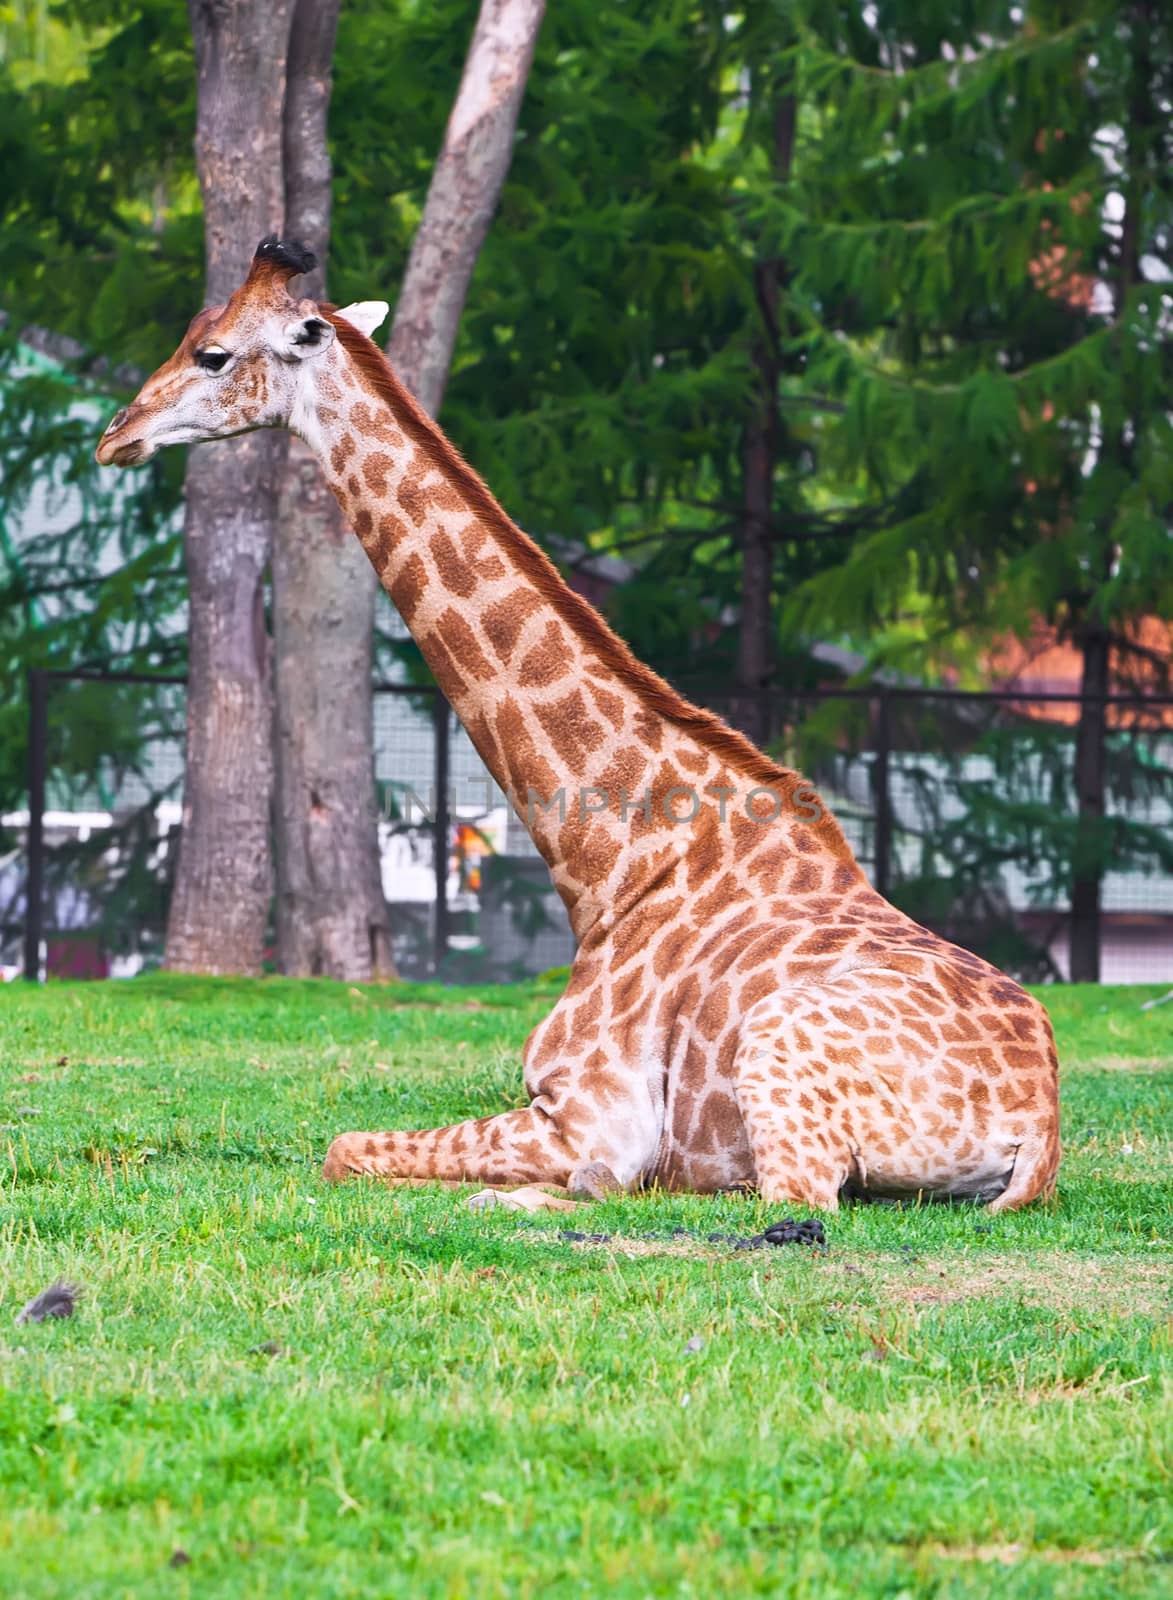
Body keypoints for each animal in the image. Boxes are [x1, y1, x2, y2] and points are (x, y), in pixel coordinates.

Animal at [96, 236, 1056, 1209]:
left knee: (787, 1205)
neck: (610, 863)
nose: (116, 434)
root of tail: (1037, 1128)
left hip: (781, 1066)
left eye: (213, 354)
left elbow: (344, 1147)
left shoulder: (586, 1112)